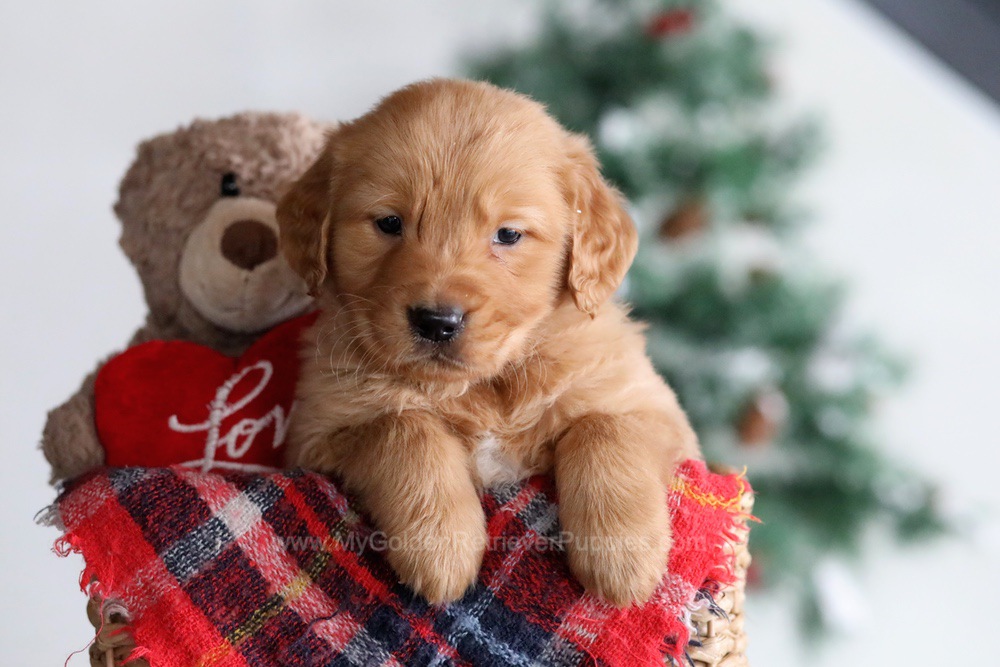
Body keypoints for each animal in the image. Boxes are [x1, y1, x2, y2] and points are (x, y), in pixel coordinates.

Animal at [278, 79, 700, 612]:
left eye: (509, 234)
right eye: (389, 223)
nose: (437, 322)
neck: (486, 385)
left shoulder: (656, 411)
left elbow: (603, 426)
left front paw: (622, 557)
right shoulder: (315, 435)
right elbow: (404, 427)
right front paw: (441, 544)